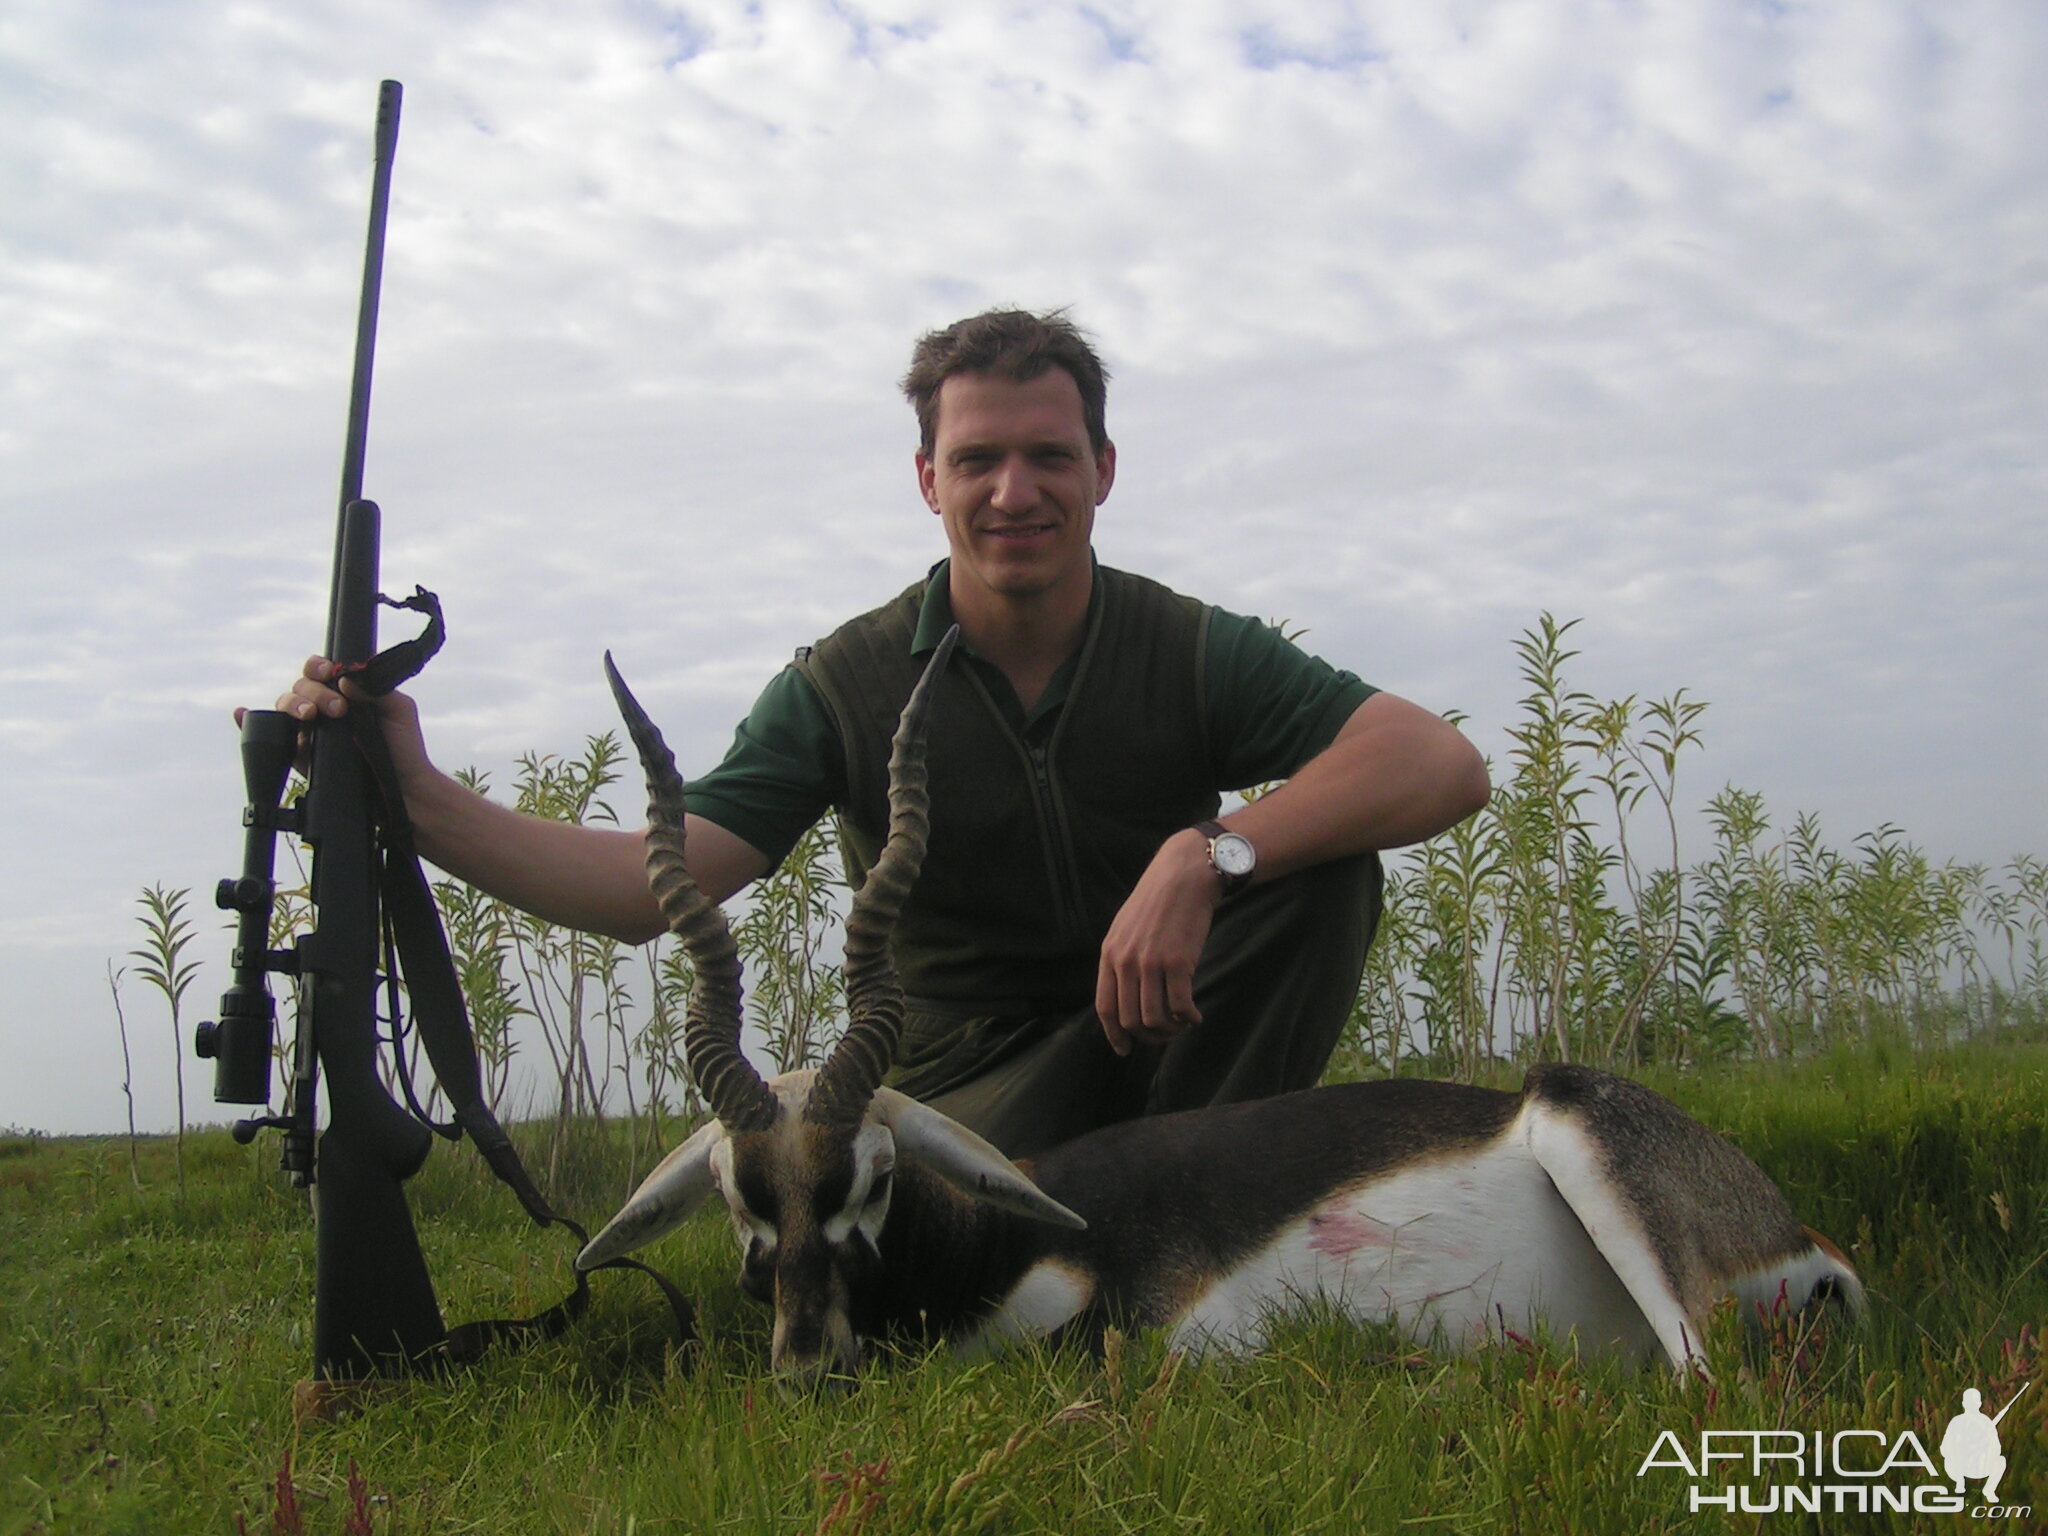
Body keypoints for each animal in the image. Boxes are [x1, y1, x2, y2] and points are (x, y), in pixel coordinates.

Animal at [585, 634, 1867, 1384]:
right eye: (734, 1196)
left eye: (875, 1176)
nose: (808, 1366)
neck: (1006, 1243)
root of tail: (1808, 1241)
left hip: (1586, 1139)